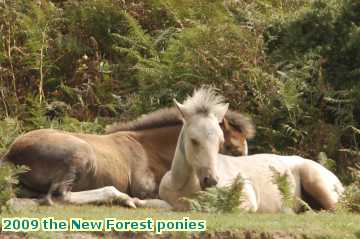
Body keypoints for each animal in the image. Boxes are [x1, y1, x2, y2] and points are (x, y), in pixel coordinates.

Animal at [0, 107, 253, 206]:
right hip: (80, 154)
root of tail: (11, 152)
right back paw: (122, 198)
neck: (151, 148)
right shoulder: (145, 187)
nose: (212, 180)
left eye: (220, 143)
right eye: (230, 148)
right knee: (59, 196)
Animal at [159, 87, 344, 213]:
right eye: (194, 140)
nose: (210, 180)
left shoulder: (246, 200)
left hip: (317, 183)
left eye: (220, 142)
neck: (184, 188)